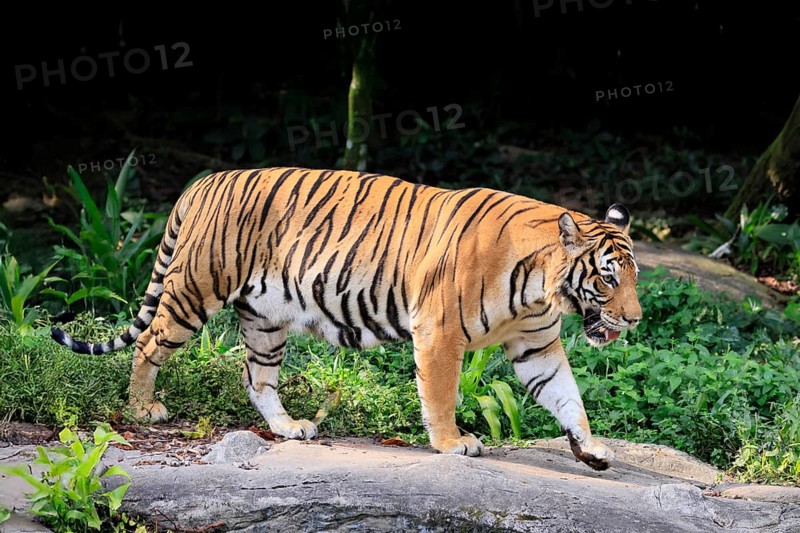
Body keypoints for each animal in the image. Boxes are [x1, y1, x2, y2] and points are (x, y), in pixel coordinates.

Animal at [52, 167, 642, 470]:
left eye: (635, 277)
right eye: (609, 278)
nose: (635, 320)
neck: (541, 289)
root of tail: (202, 181)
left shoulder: (536, 346)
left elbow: (568, 396)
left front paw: (591, 447)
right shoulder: (440, 333)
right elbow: (441, 393)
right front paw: (452, 443)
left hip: (265, 319)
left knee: (256, 377)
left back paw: (289, 428)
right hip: (196, 290)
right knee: (149, 342)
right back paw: (143, 407)